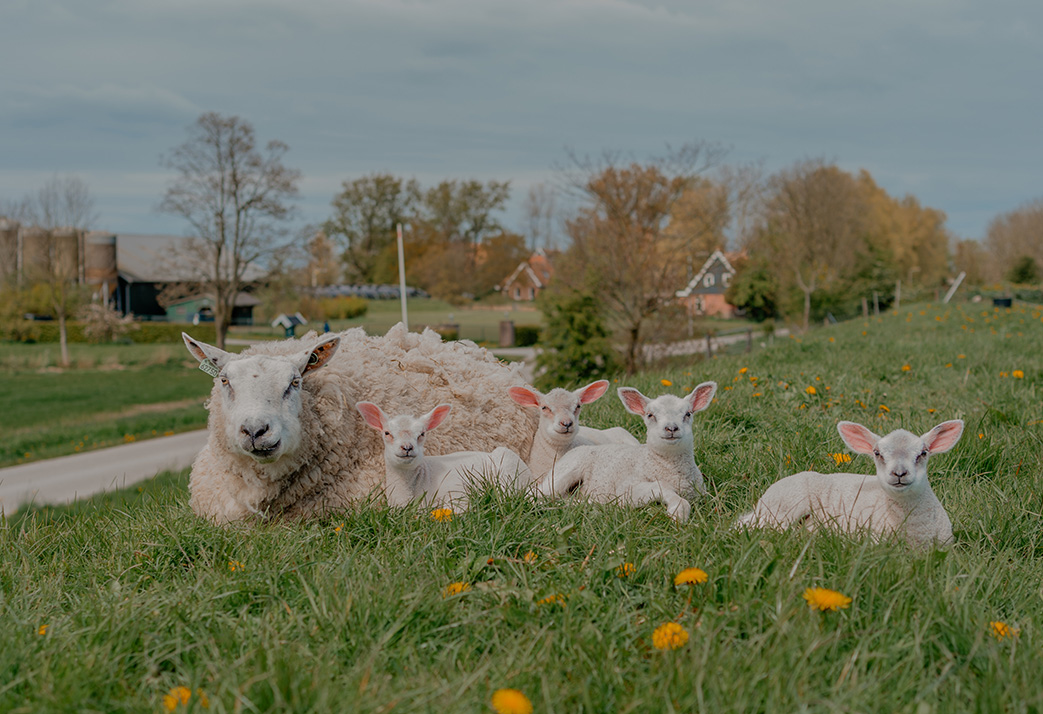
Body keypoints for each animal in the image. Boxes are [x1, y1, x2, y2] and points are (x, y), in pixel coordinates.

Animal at [538, 381, 717, 521]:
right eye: (650, 415)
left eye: (688, 414)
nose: (671, 428)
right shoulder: (628, 490)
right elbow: (663, 488)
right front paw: (678, 512)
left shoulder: (700, 492)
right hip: (564, 472)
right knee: (537, 493)